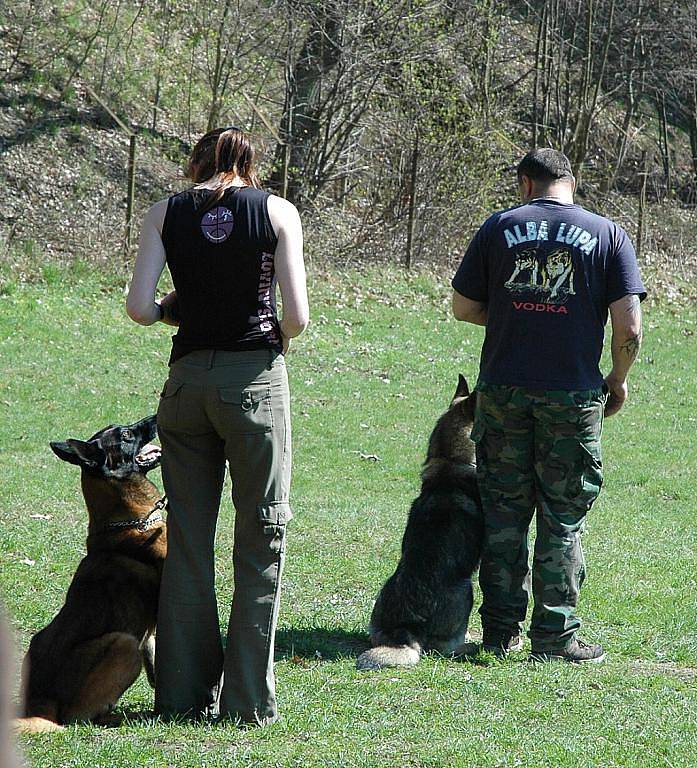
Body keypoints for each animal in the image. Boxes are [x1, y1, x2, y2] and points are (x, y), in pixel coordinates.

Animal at [13, 414, 167, 732]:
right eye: (126, 435)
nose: (156, 416)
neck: (129, 520)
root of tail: (41, 703)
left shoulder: (150, 630)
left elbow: (156, 659)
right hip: (123, 645)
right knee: (78, 718)